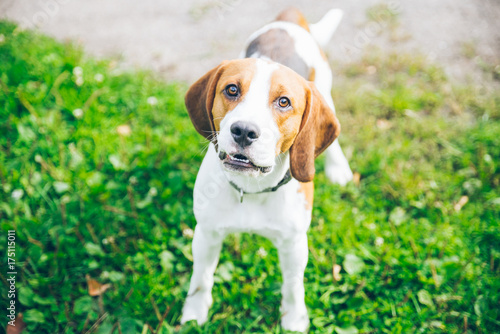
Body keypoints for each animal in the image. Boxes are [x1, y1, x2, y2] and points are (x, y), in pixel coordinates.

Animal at [182, 7, 354, 332]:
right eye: (231, 89)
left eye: (284, 102)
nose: (243, 131)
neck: (252, 190)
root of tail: (289, 17)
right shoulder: (206, 234)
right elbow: (201, 279)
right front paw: (194, 314)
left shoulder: (294, 245)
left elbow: (293, 286)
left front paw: (295, 319)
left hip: (326, 89)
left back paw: (338, 168)